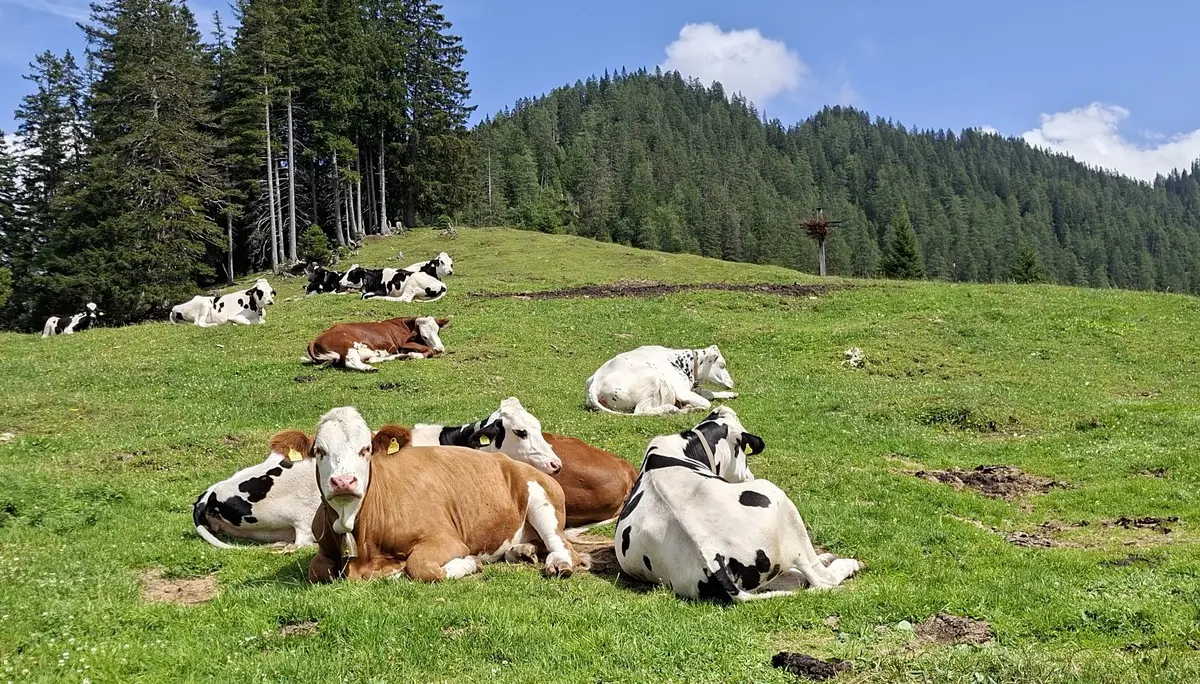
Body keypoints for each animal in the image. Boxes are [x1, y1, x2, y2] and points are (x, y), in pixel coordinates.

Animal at [305, 315, 449, 372]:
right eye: (424, 336)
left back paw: (400, 357)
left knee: (372, 358)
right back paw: (369, 369)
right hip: (348, 345)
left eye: (438, 331)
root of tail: (315, 340)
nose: (440, 349)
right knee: (351, 362)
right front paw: (416, 355)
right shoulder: (402, 344)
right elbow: (427, 350)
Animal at [305, 407, 588, 583]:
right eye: (319, 451)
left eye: (366, 449)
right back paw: (522, 551)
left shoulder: (447, 541)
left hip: (541, 503)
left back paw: (557, 563)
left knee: (561, 546)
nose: (343, 481)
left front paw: (468, 563)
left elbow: (419, 567)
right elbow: (317, 570)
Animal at [585, 344, 738, 415]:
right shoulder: (682, 391)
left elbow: (709, 394)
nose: (731, 383)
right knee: (641, 410)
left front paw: (731, 394)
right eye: (722, 365)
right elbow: (707, 402)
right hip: (652, 378)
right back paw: (673, 408)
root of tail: (596, 380)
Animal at [614, 406, 863, 603]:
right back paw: (848, 563)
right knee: (819, 577)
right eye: (745, 452)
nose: (750, 475)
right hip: (783, 507)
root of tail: (712, 553)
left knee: (798, 579)